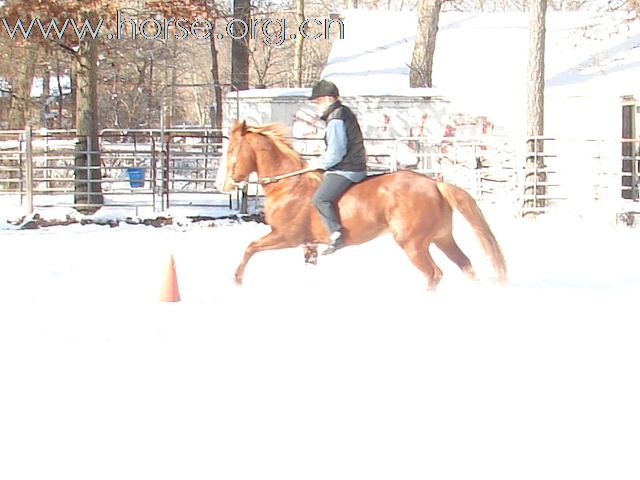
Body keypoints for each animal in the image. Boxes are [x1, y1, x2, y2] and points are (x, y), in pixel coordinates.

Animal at [222, 122, 508, 290]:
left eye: (233, 150)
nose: (224, 185)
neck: (289, 185)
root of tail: (435, 184)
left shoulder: (286, 237)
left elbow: (250, 248)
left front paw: (236, 281)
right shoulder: (308, 245)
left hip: (413, 244)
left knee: (434, 274)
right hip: (442, 238)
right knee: (466, 265)